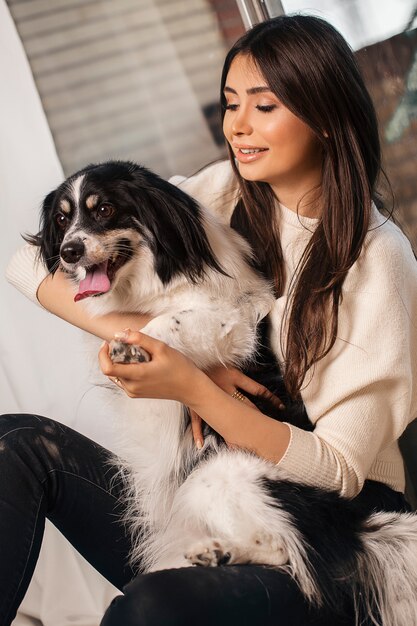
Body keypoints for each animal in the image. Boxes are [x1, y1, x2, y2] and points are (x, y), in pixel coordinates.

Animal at [30, 160, 416, 620]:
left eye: (104, 209)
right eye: (62, 220)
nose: (69, 252)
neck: (157, 279)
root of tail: (354, 528)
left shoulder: (233, 324)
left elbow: (168, 322)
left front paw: (132, 345)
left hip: (214, 475)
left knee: (284, 549)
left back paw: (224, 555)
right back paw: (218, 553)